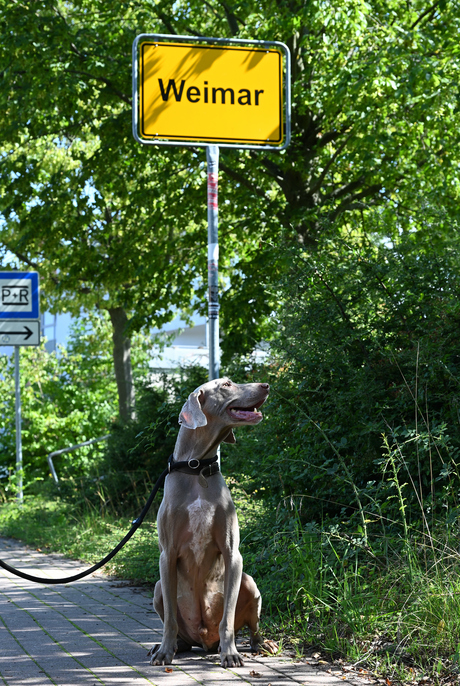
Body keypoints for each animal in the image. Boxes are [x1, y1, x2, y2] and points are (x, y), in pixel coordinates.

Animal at [149, 378, 274, 668]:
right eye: (227, 384)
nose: (266, 385)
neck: (197, 469)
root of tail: (204, 642)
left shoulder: (233, 555)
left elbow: (227, 618)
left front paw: (230, 653)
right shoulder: (166, 555)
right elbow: (169, 619)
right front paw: (164, 652)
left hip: (250, 583)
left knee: (252, 627)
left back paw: (260, 644)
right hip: (158, 587)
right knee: (176, 626)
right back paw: (172, 646)